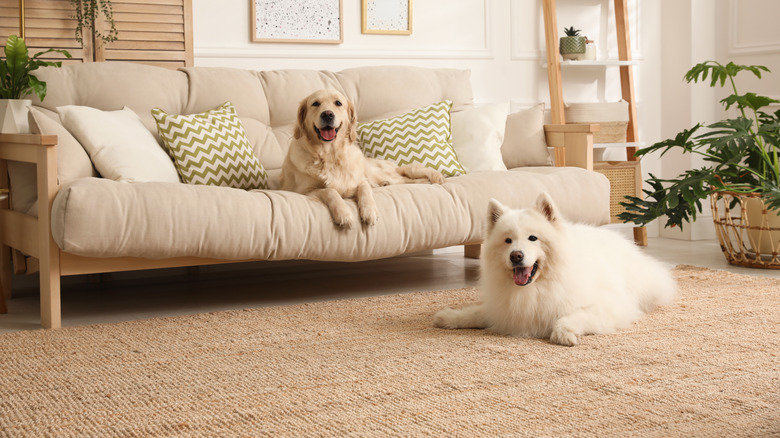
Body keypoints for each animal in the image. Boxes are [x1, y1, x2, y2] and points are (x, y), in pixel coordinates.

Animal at [280, 87, 444, 228]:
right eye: (315, 103)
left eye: (338, 103)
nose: (327, 114)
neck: (331, 155)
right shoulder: (304, 191)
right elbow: (330, 191)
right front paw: (344, 214)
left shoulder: (361, 180)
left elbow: (365, 190)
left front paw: (369, 211)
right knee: (406, 179)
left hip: (386, 172)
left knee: (409, 172)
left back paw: (433, 178)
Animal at [432, 193, 676, 348]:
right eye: (508, 241)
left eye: (533, 238)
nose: (516, 255)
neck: (535, 288)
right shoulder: (503, 309)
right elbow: (476, 313)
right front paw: (449, 317)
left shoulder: (609, 307)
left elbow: (570, 317)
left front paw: (564, 333)